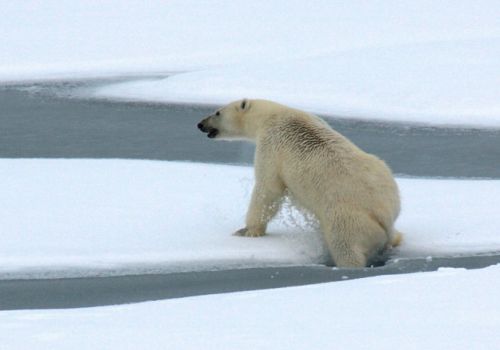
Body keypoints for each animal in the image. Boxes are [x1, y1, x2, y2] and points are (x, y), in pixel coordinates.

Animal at [197, 99, 400, 268]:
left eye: (217, 112)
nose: (200, 124)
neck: (273, 115)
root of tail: (383, 214)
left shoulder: (271, 145)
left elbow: (268, 189)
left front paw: (247, 230)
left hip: (347, 219)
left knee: (345, 246)